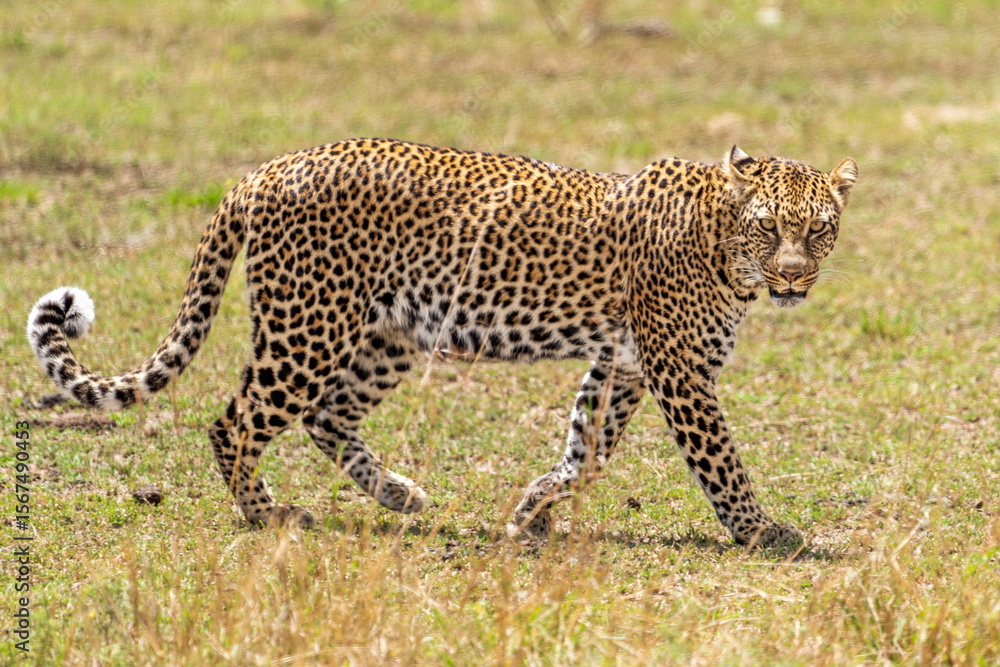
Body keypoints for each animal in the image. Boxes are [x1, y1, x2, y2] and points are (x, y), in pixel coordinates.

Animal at [27, 138, 857, 547]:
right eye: (768, 226)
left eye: (819, 228)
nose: (792, 274)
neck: (724, 238)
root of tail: (263, 171)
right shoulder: (679, 368)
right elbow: (720, 462)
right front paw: (763, 530)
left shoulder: (619, 362)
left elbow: (586, 452)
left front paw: (533, 512)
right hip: (309, 327)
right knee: (236, 419)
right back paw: (268, 514)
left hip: (388, 331)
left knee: (327, 415)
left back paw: (399, 493)